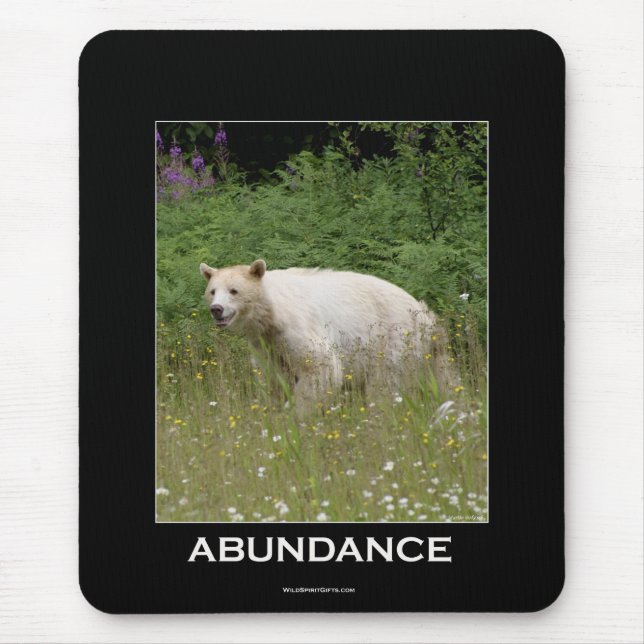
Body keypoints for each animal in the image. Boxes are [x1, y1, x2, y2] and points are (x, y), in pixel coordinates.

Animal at [199, 259, 452, 415]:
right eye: (212, 291)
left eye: (234, 290)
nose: (217, 309)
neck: (271, 315)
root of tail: (426, 315)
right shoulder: (267, 345)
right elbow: (275, 378)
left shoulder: (298, 328)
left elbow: (321, 367)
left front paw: (295, 414)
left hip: (393, 340)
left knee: (385, 384)